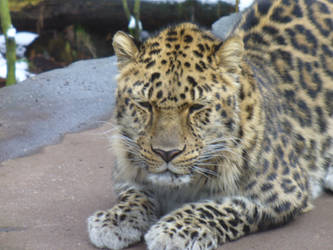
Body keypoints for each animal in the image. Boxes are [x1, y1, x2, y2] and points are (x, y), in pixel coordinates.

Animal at [87, 0, 330, 249]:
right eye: (145, 104)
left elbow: (222, 207)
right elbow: (135, 194)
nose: (167, 153)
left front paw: (174, 229)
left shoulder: (285, 190)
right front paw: (115, 219)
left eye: (196, 107)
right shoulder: (125, 173)